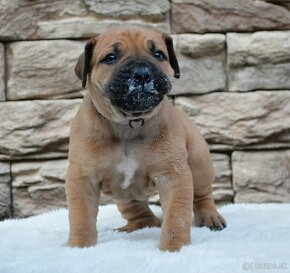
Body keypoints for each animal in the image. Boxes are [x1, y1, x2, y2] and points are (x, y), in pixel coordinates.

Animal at [65, 25, 227, 251]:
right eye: (110, 57)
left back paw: (210, 217)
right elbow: (81, 217)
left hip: (199, 164)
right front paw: (80, 247)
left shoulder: (173, 175)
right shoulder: (82, 178)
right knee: (142, 214)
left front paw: (174, 249)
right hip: (125, 195)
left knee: (202, 195)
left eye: (159, 54)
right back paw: (132, 228)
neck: (129, 124)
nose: (141, 73)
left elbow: (177, 216)